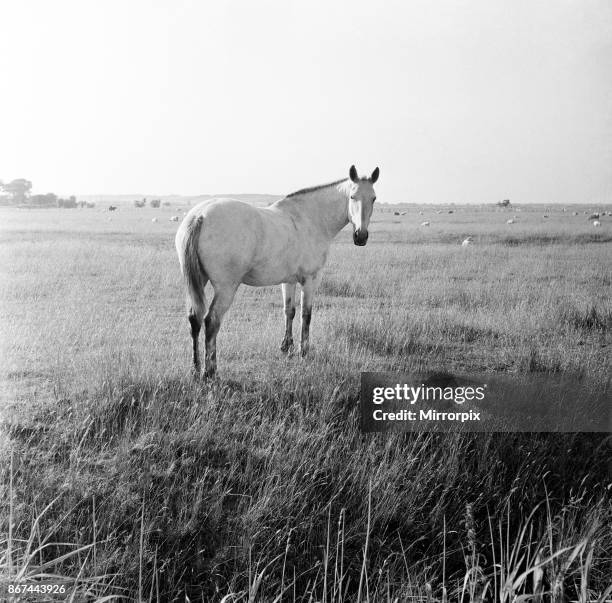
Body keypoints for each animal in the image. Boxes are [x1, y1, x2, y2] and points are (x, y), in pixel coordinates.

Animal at [175, 165, 380, 378]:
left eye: (373, 198)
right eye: (352, 197)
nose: (361, 236)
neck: (311, 218)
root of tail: (200, 215)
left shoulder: (288, 280)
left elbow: (289, 311)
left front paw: (287, 347)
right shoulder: (311, 279)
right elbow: (306, 314)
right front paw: (304, 352)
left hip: (198, 282)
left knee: (195, 319)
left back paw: (196, 369)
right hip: (226, 288)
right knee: (211, 321)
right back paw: (210, 371)